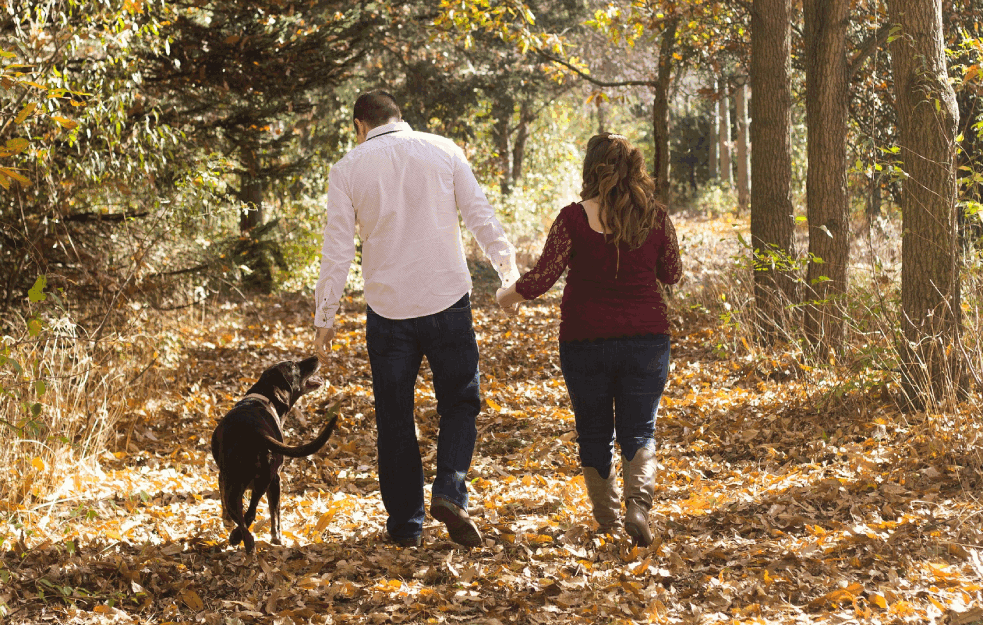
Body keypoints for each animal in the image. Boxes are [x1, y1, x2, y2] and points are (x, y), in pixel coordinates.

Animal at [209, 356, 338, 552]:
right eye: (294, 365)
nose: (315, 357)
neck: (263, 397)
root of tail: (256, 431)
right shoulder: (275, 480)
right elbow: (275, 513)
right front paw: (276, 538)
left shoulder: (222, 478)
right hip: (266, 481)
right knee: (250, 514)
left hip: (237, 485)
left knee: (245, 516)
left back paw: (239, 539)